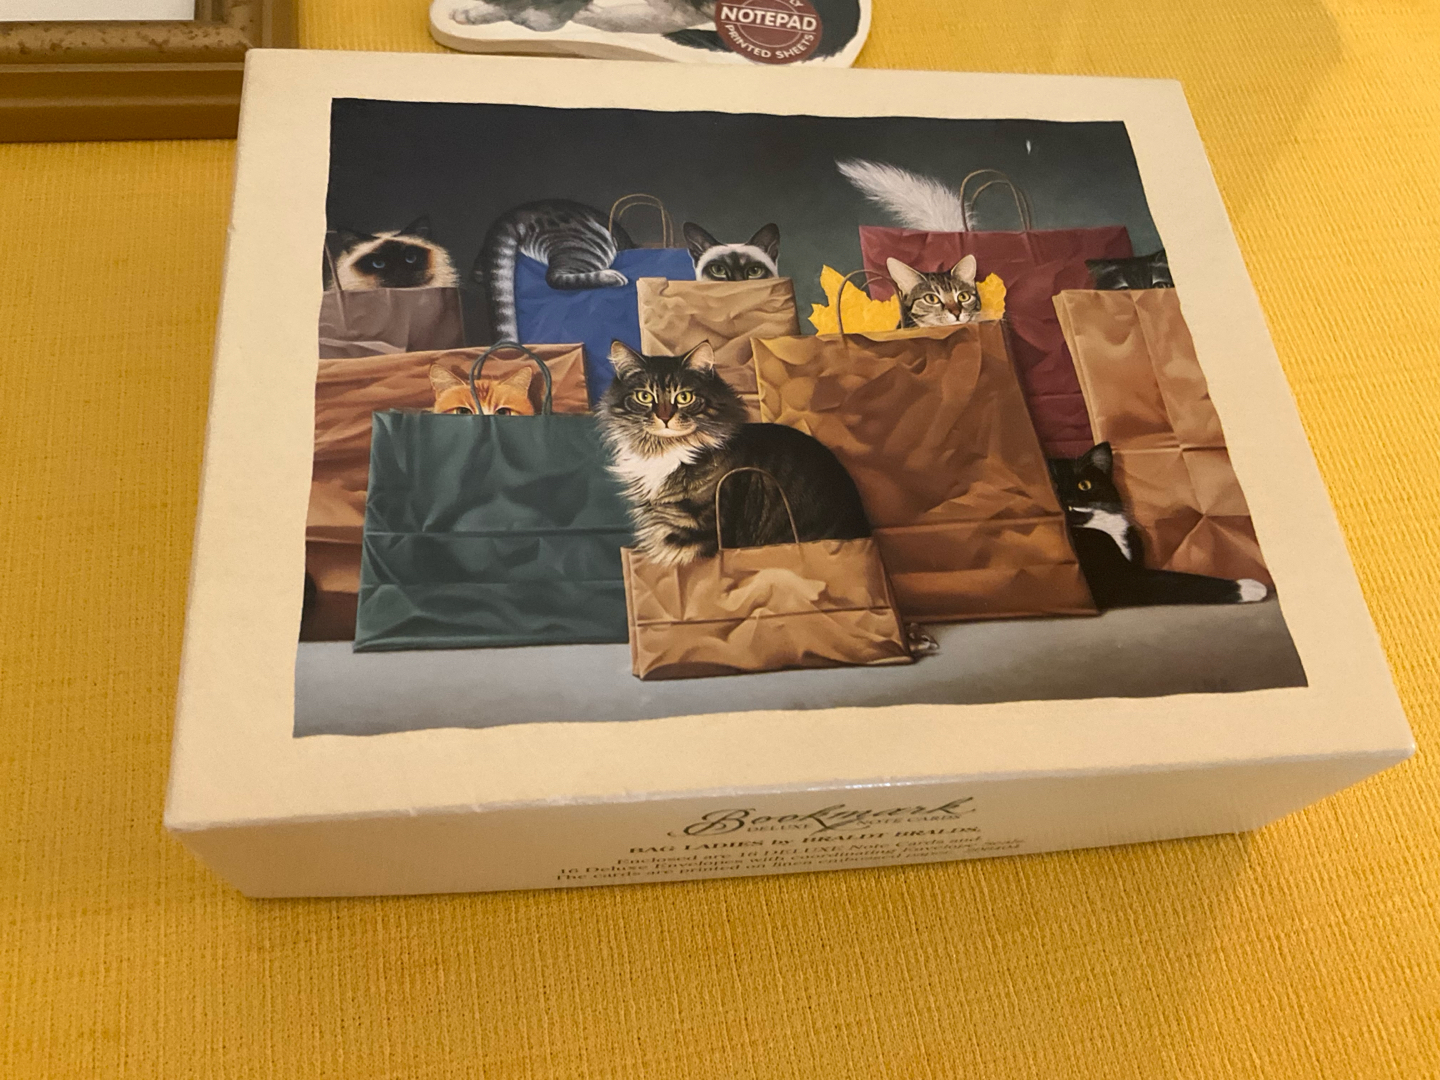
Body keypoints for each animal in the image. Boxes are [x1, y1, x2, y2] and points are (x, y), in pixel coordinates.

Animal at [1048, 443, 1267, 608]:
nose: (1069, 502)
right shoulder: (1120, 582)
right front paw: (1249, 587)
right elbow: (1178, 581)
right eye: (1054, 488)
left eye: (1084, 485)